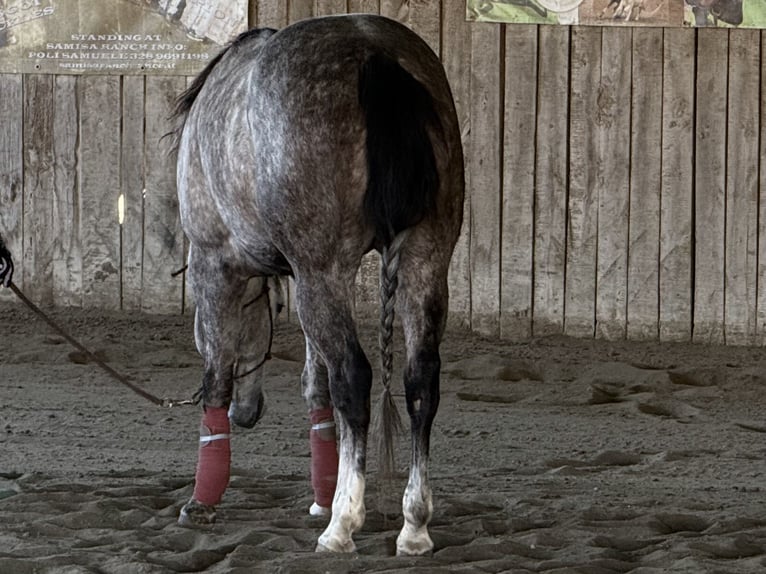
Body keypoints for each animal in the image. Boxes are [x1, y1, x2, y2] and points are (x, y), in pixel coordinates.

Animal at [171, 14, 464, 556]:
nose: (249, 413)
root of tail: (376, 54)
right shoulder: (306, 275)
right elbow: (315, 386)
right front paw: (322, 495)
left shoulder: (213, 264)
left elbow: (216, 377)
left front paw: (203, 499)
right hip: (424, 260)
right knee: (420, 381)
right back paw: (413, 526)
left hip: (323, 271)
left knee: (354, 377)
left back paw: (343, 524)